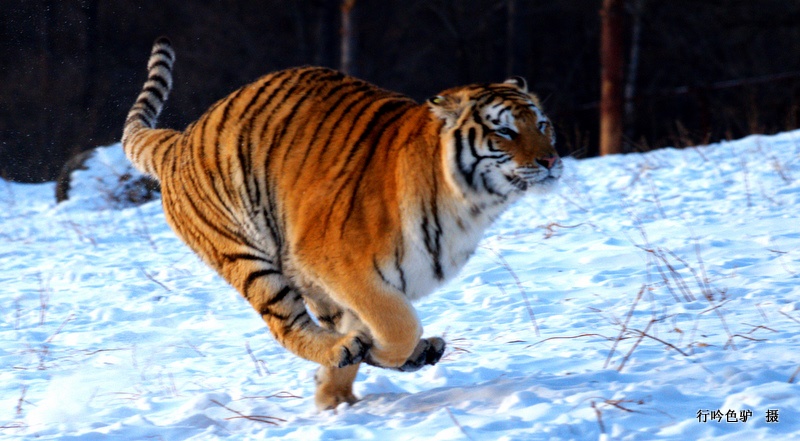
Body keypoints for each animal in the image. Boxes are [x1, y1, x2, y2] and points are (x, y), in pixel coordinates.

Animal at [123, 37, 564, 410]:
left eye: (542, 125)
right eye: (504, 131)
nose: (551, 161)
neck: (469, 207)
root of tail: (181, 139)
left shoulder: (347, 284)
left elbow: (373, 325)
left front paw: (334, 398)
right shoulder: (342, 267)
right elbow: (398, 323)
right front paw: (366, 362)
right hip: (249, 260)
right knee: (285, 325)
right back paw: (347, 349)